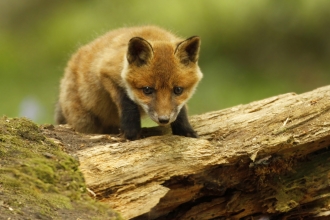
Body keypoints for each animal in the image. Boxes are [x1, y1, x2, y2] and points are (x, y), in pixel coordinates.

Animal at [55, 25, 202, 139]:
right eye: (147, 90)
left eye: (178, 90)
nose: (164, 119)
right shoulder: (106, 72)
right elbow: (127, 102)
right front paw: (131, 132)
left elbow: (181, 110)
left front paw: (185, 130)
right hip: (84, 121)